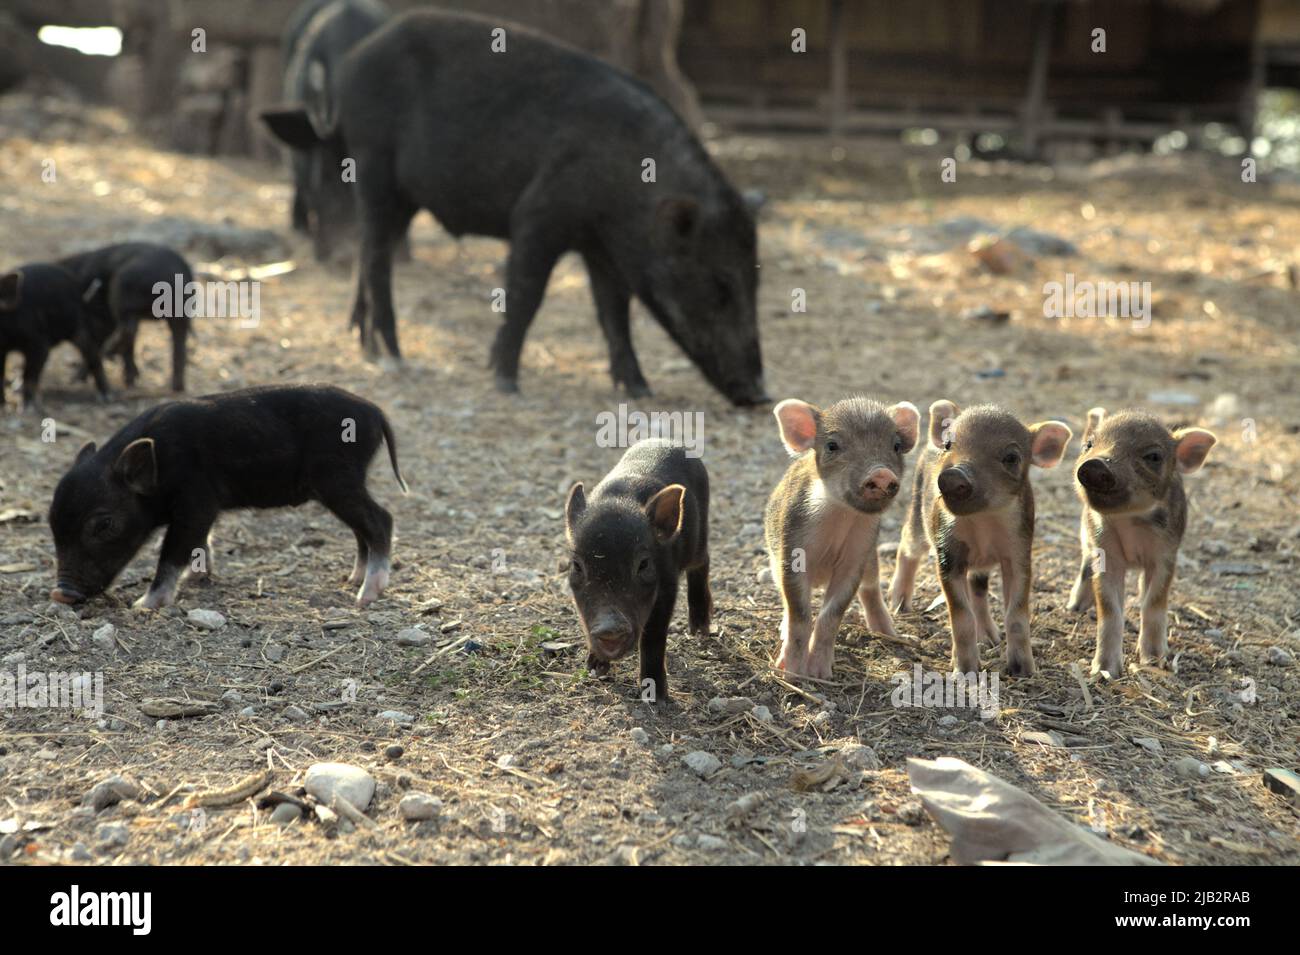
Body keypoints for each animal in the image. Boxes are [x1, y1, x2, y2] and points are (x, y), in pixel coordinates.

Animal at [262, 11, 764, 407]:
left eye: (755, 280)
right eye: (720, 285)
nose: (760, 395)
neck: (625, 195)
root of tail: (351, 66)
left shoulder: (599, 247)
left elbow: (614, 313)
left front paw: (640, 391)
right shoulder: (539, 216)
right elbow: (526, 294)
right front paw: (504, 382)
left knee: (369, 259)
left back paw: (366, 346)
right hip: (374, 168)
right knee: (376, 259)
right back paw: (394, 356)